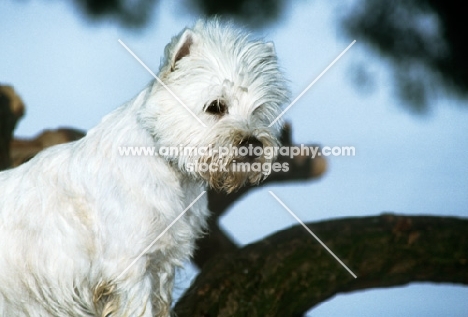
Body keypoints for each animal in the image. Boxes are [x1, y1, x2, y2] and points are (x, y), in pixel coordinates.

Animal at [0, 18, 288, 314]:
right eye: (216, 106)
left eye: (259, 110)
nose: (253, 144)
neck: (171, 171)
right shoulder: (130, 267)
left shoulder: (162, 264)